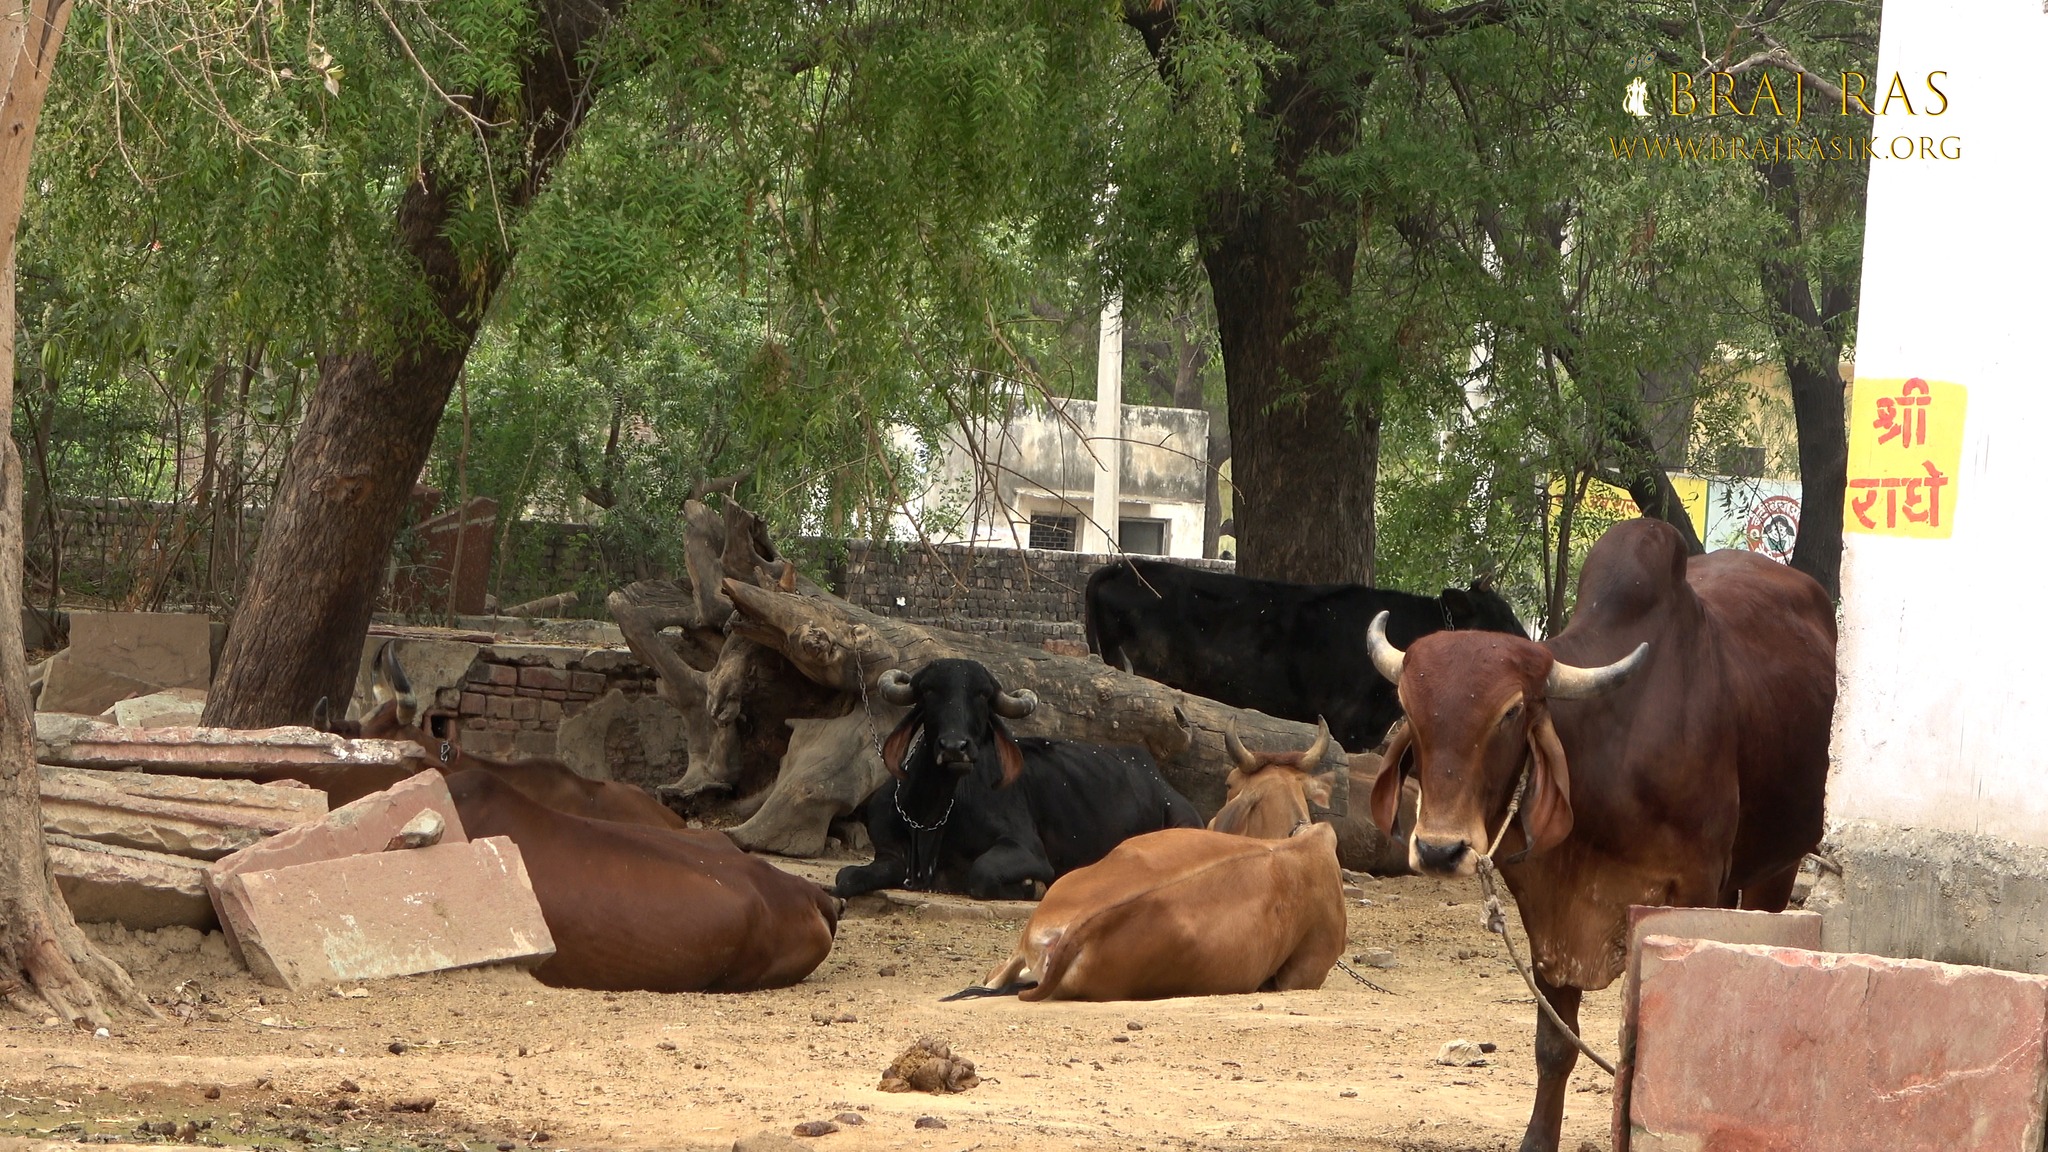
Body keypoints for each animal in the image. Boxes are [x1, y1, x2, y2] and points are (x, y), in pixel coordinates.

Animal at [832, 659, 1202, 901]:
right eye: (928, 690)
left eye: (981, 694)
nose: (954, 748)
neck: (930, 815)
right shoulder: (890, 854)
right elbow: (846, 877)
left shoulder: (1026, 849)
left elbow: (981, 874)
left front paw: (1032, 887)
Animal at [1363, 518, 1834, 1152]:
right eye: (1409, 708)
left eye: (1511, 711)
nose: (1440, 849)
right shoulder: (1548, 913)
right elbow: (1555, 1045)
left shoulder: (1694, 887)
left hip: (1777, 865)